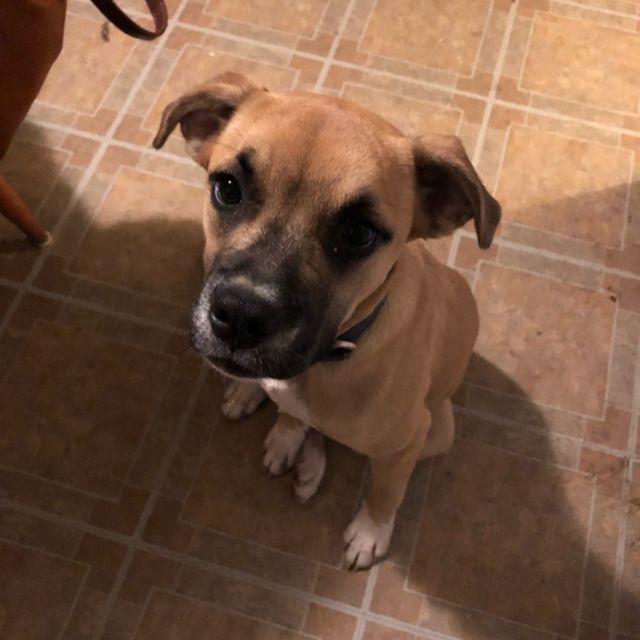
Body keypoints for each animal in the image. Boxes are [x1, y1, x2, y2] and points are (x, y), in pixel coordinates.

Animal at [153, 72, 501, 570]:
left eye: (360, 234)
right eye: (228, 187)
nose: (240, 316)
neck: (332, 356)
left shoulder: (408, 442)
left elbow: (385, 491)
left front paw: (370, 534)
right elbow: (292, 414)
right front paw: (285, 434)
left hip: (440, 428)